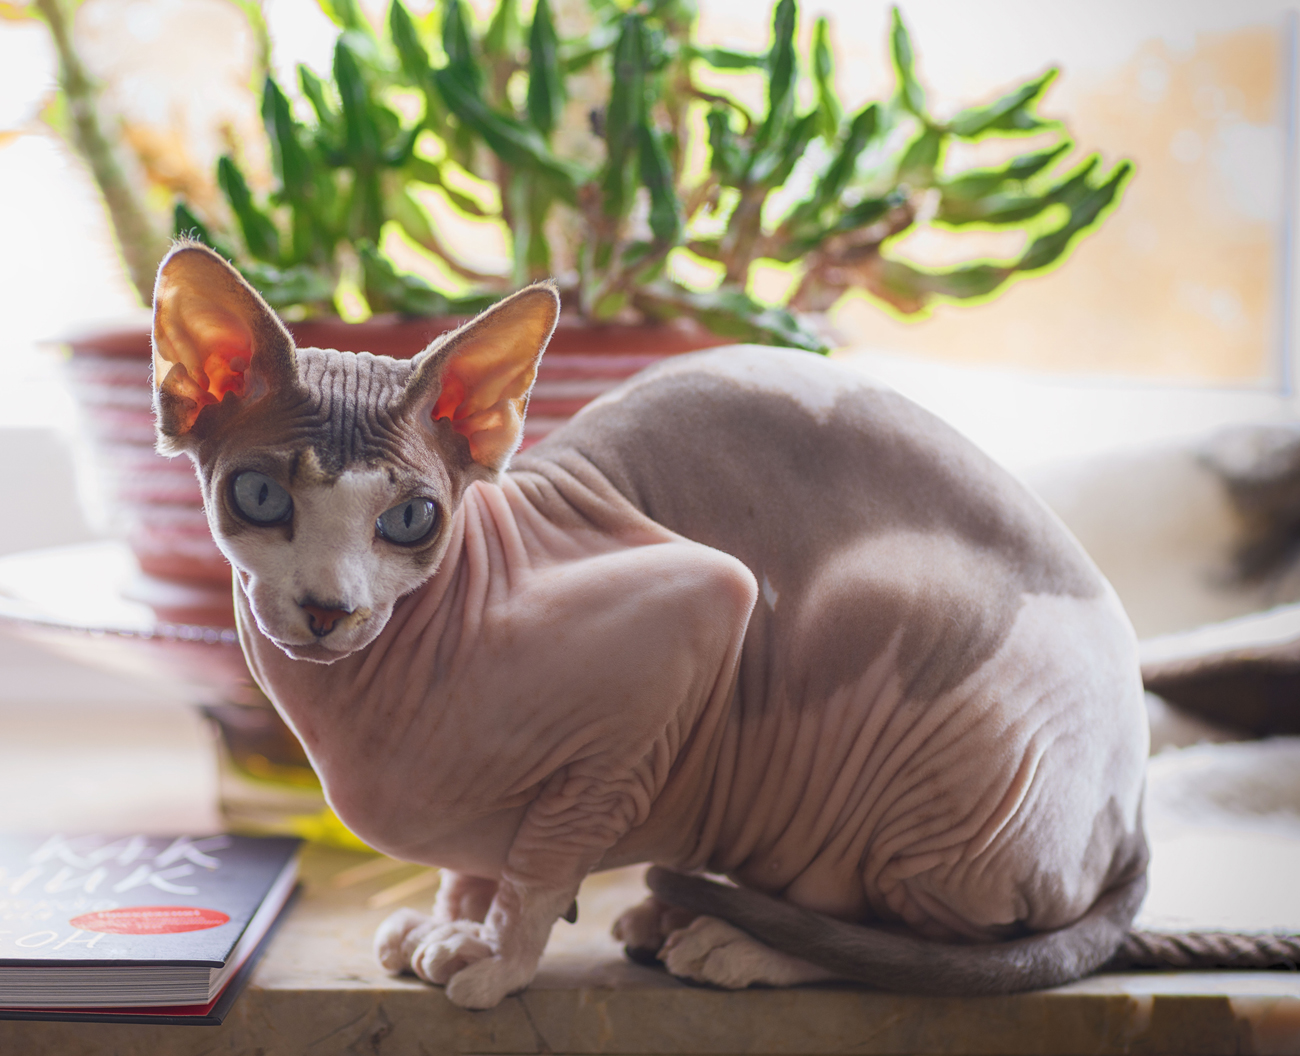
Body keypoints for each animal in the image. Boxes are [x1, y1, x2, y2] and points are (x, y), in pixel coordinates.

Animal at [149, 243, 1149, 1009]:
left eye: (410, 520)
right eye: (260, 497)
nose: (329, 608)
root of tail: (1130, 810)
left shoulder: (694, 610)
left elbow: (546, 855)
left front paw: (497, 955)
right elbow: (477, 859)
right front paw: (452, 921)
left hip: (910, 671)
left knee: (908, 942)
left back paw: (740, 945)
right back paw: (673, 917)